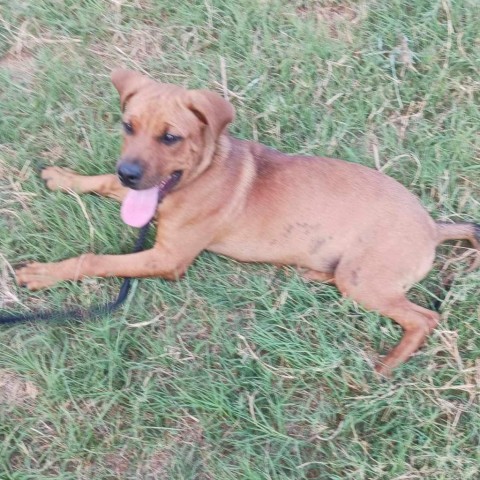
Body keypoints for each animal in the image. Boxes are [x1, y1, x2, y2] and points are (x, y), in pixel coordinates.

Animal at [16, 68, 478, 376]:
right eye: (127, 126)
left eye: (171, 137)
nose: (129, 172)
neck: (199, 174)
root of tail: (433, 227)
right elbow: (100, 180)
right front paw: (64, 178)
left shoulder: (166, 259)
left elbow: (95, 259)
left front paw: (46, 273)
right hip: (355, 274)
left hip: (366, 281)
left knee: (424, 319)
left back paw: (389, 363)